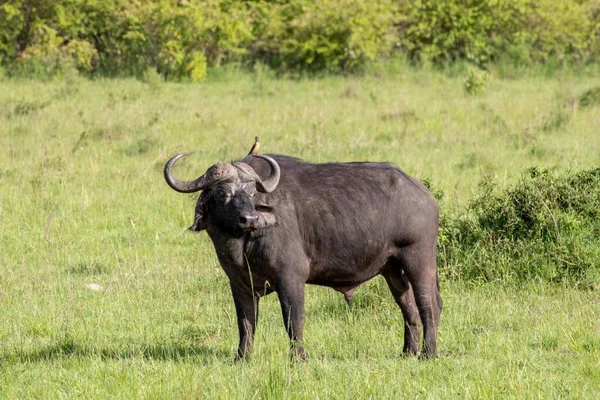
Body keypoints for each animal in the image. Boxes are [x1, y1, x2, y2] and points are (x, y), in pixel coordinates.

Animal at [163, 147, 440, 360]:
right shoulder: (240, 284)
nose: (250, 218)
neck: (244, 244)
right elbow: (246, 323)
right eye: (223, 193)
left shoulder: (291, 278)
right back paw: (408, 352)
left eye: (252, 192)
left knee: (429, 304)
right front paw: (241, 358)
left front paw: (298, 358)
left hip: (419, 259)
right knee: (408, 307)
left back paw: (429, 354)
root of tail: (425, 195)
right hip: (392, 269)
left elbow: (293, 319)